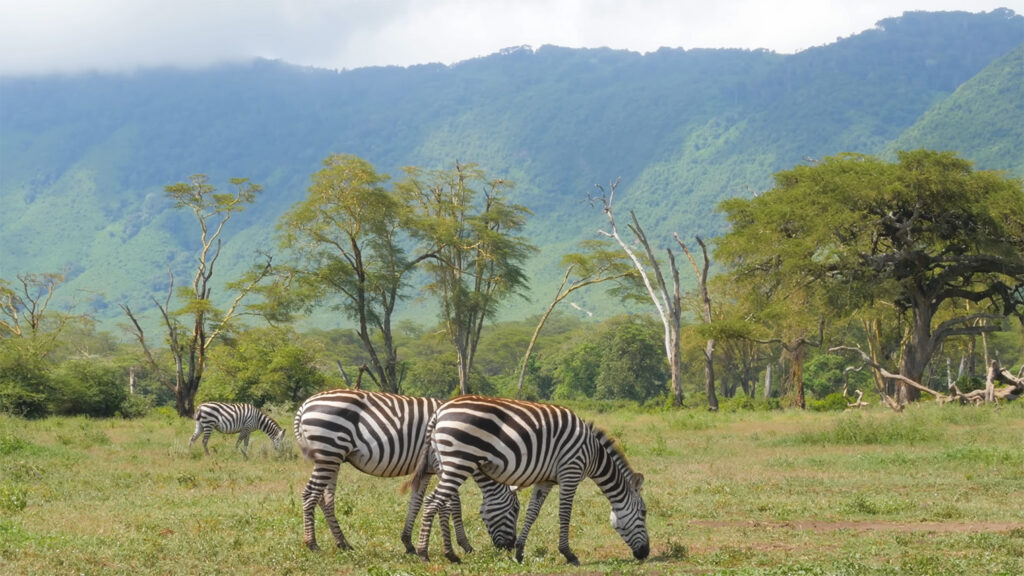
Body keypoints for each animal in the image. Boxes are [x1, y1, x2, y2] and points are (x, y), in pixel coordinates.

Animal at [294, 389, 520, 553]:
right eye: (515, 510)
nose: (509, 548)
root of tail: (305, 405)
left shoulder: (427, 469)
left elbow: (416, 502)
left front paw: (408, 543)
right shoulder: (443, 466)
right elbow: (454, 504)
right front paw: (465, 545)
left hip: (333, 458)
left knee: (325, 499)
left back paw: (343, 543)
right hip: (328, 452)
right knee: (310, 495)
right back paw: (312, 544)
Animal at [413, 391, 647, 561]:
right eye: (644, 513)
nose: (645, 553)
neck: (594, 454)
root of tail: (439, 412)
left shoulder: (546, 480)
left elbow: (533, 513)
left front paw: (519, 552)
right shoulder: (570, 471)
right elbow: (565, 514)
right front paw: (568, 554)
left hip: (447, 464)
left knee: (440, 503)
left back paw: (447, 554)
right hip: (460, 462)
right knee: (432, 502)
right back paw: (424, 553)